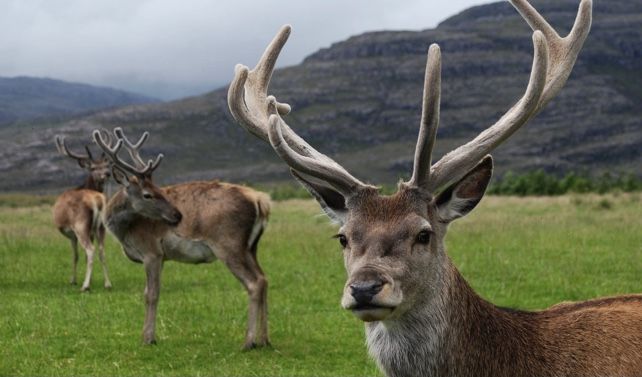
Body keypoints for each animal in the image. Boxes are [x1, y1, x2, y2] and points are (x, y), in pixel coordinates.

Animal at [53, 133, 113, 290]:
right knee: (101, 250)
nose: (107, 173)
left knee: (90, 250)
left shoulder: (72, 235)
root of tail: (98, 200)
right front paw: (90, 280)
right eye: (93, 167)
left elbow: (76, 256)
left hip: (80, 225)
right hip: (101, 227)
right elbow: (83, 257)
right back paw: (108, 283)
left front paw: (73, 280)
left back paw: (85, 286)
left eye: (105, 166)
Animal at [91, 128, 268, 348]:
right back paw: (264, 340)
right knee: (264, 278)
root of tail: (261, 201)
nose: (178, 215)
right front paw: (146, 335)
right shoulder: (161, 257)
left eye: (159, 189)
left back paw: (248, 342)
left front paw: (148, 338)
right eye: (148, 194)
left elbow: (152, 294)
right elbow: (148, 292)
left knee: (254, 283)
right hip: (251, 247)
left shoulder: (151, 252)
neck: (125, 232)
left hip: (229, 244)